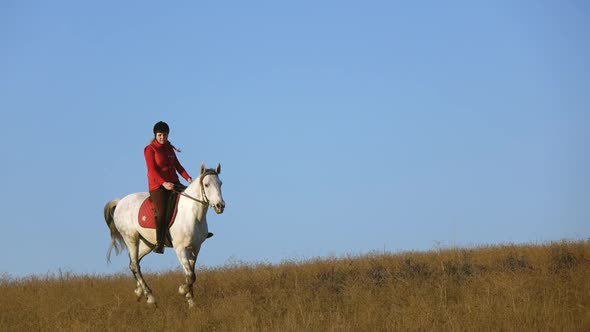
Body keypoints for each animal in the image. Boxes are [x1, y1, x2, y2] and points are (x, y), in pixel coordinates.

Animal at [103, 163, 225, 306]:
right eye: (206, 184)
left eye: (220, 183)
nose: (220, 206)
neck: (192, 214)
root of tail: (120, 201)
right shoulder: (180, 249)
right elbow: (190, 275)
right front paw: (182, 290)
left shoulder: (195, 248)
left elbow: (191, 275)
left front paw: (191, 302)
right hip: (131, 239)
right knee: (135, 265)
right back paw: (150, 297)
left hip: (148, 244)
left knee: (134, 263)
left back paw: (139, 292)